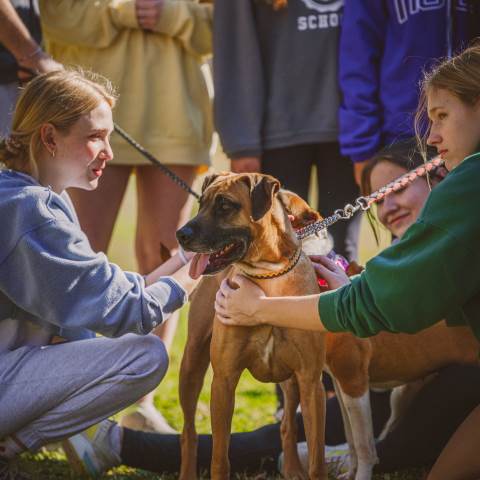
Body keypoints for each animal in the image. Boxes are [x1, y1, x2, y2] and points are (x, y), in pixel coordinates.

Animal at [176, 173, 330, 480]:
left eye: (225, 205)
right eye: (201, 203)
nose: (181, 235)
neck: (268, 275)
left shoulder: (310, 381)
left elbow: (317, 457)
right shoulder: (223, 380)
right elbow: (219, 456)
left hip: (292, 382)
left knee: (288, 424)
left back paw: (292, 469)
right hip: (191, 364)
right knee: (188, 432)